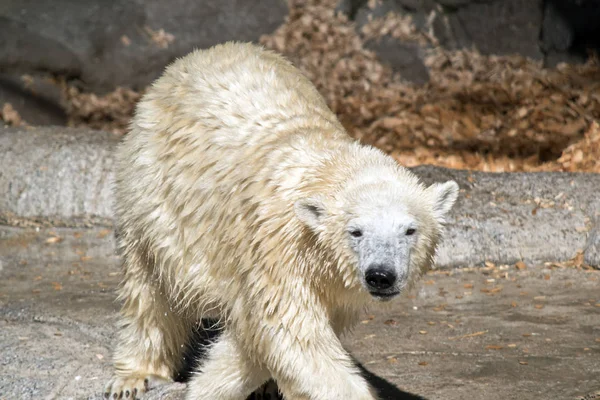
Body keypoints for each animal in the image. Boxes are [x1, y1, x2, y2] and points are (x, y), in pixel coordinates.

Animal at [104, 42, 460, 398]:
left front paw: (212, 383)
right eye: (355, 232)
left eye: (410, 230)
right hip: (152, 193)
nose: (381, 276)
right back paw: (135, 375)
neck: (327, 167)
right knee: (149, 287)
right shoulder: (278, 247)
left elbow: (253, 342)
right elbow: (293, 334)